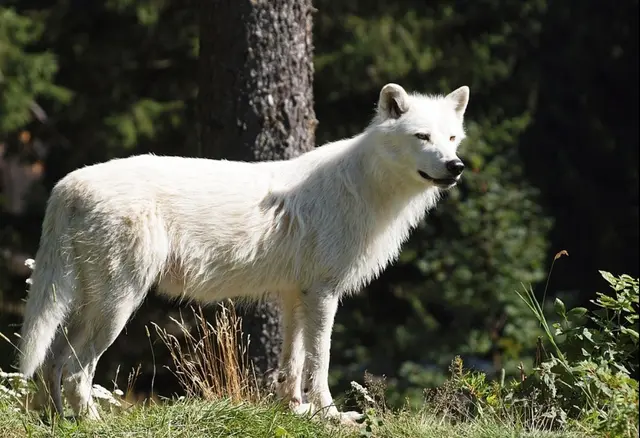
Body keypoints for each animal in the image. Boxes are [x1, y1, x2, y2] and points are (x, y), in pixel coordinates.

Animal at [18, 83, 470, 422]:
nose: (456, 166)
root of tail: (67, 183)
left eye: (451, 138)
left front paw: (295, 411)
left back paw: (56, 422)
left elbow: (292, 362)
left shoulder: (294, 296)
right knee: (76, 370)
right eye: (421, 137)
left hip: (87, 305)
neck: (365, 188)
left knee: (52, 362)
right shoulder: (324, 294)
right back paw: (92, 423)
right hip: (117, 307)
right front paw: (331, 417)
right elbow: (319, 362)